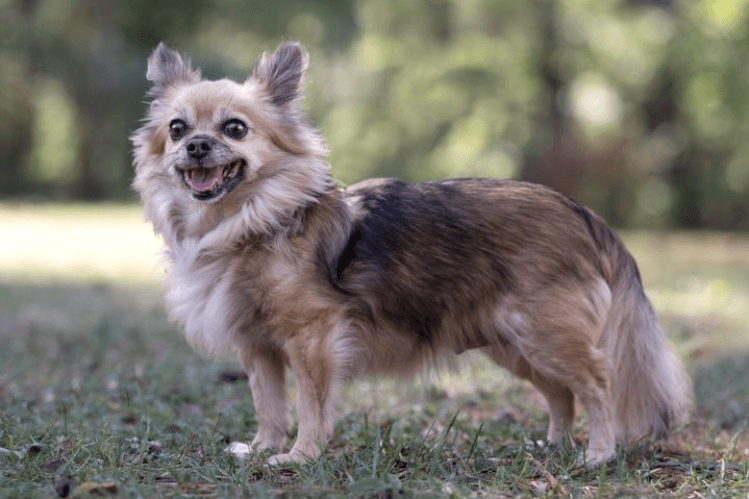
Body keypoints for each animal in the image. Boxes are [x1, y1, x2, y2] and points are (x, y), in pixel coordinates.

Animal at [133, 41, 688, 466]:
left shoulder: (313, 339)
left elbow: (310, 405)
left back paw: (599, 452)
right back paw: (553, 445)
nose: (197, 145)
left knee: (597, 384)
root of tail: (582, 213)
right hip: (516, 343)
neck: (248, 223)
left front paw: (300, 457)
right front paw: (265, 448)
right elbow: (268, 404)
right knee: (561, 393)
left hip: (545, 334)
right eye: (178, 129)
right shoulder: (259, 348)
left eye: (235, 128)